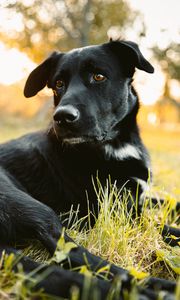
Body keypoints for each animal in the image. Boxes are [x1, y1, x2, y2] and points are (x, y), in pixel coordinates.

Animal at [0, 41, 179, 298]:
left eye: (98, 76)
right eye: (58, 84)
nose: (63, 117)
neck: (117, 145)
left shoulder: (138, 198)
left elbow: (169, 203)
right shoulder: (118, 214)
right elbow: (165, 228)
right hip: (34, 209)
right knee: (76, 255)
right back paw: (154, 289)